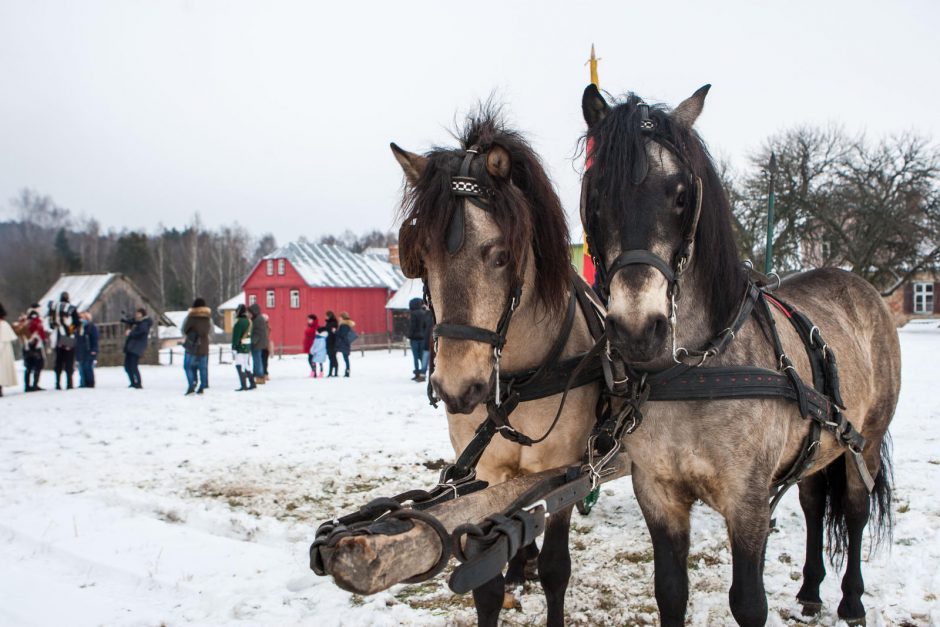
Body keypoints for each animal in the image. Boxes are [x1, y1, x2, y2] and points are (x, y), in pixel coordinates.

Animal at [392, 110, 604, 624]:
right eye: (420, 257)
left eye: (502, 255)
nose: (458, 388)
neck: (518, 381)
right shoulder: (487, 472)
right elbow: (485, 584)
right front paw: (507, 577)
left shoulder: (565, 469)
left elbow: (556, 569)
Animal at [580, 84, 896, 627]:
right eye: (597, 194)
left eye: (681, 195)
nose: (638, 330)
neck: (691, 373)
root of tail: (859, 285)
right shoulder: (658, 494)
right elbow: (670, 592)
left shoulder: (747, 500)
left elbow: (748, 602)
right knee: (814, 505)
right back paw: (810, 590)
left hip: (865, 445)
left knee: (855, 512)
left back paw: (851, 600)